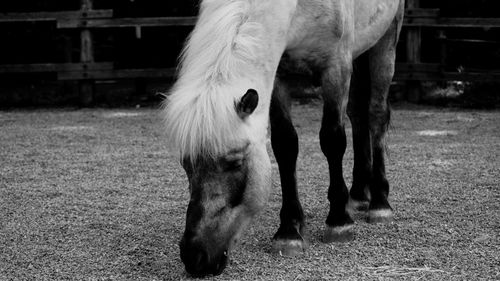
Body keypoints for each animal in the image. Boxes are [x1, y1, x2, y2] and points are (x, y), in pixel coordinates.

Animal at [164, 0, 406, 276]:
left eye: (235, 162)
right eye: (186, 165)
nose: (195, 257)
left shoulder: (336, 68)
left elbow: (332, 141)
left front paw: (338, 220)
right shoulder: (278, 76)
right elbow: (285, 145)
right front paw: (290, 231)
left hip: (386, 40)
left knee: (376, 115)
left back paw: (379, 203)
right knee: (357, 114)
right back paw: (357, 195)